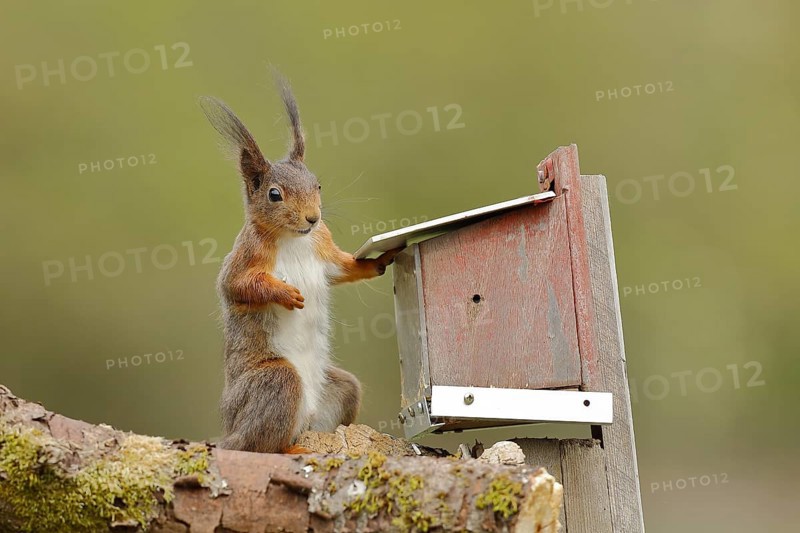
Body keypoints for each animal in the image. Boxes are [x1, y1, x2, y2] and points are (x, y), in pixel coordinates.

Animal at [200, 75, 400, 454]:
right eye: (274, 195)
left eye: (317, 185)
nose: (313, 218)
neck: (294, 239)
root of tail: (230, 429)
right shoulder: (245, 257)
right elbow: (237, 285)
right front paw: (285, 293)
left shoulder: (324, 250)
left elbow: (343, 268)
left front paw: (379, 261)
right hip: (275, 382)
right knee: (260, 444)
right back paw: (293, 448)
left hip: (340, 389)